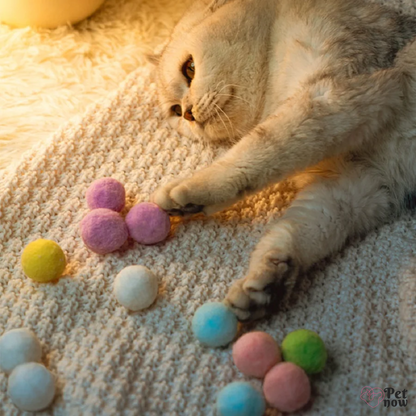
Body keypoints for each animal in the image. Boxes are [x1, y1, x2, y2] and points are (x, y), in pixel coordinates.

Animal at [149, 0, 416, 322]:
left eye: (189, 68)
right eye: (175, 111)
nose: (188, 113)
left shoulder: (336, 94)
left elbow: (254, 151)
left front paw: (189, 188)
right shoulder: (357, 184)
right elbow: (297, 231)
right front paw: (268, 281)